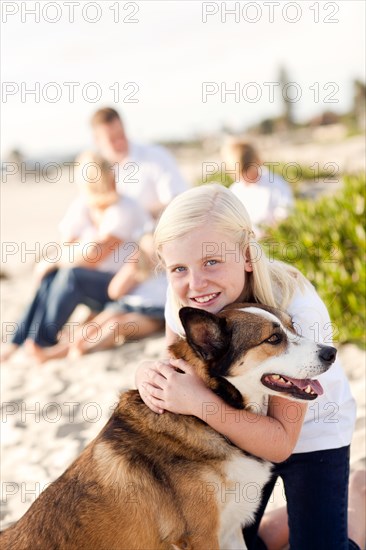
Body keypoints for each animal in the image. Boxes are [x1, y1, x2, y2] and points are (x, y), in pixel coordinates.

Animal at [1, 304, 336, 548]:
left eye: (293, 326)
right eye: (273, 339)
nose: (331, 352)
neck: (205, 416)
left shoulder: (229, 530)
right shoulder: (201, 536)